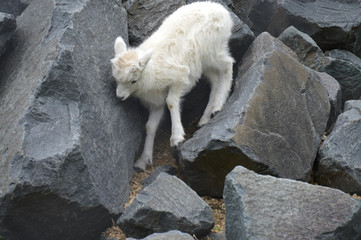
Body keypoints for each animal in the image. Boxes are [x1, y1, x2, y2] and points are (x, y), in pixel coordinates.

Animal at [110, 1, 233, 171]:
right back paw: (205, 118)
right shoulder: (156, 103)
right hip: (204, 63)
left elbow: (172, 102)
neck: (151, 71)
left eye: (133, 80)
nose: (120, 96)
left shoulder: (180, 78)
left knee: (228, 65)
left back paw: (217, 106)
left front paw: (176, 138)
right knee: (215, 80)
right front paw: (143, 162)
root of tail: (222, 11)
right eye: (116, 78)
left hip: (212, 51)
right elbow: (150, 127)